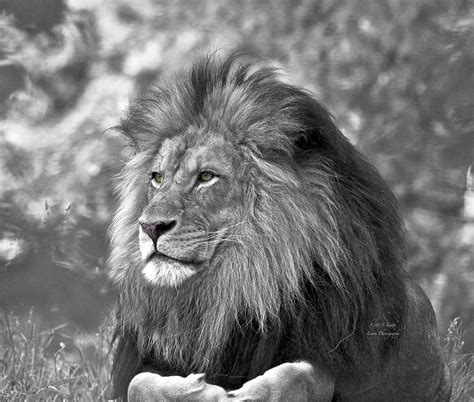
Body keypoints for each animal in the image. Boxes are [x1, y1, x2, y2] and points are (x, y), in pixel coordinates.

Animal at [107, 55, 452, 400]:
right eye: (157, 177)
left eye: (206, 177)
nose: (150, 227)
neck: (233, 287)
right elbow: (140, 383)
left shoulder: (333, 361)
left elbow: (298, 377)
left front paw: (237, 393)